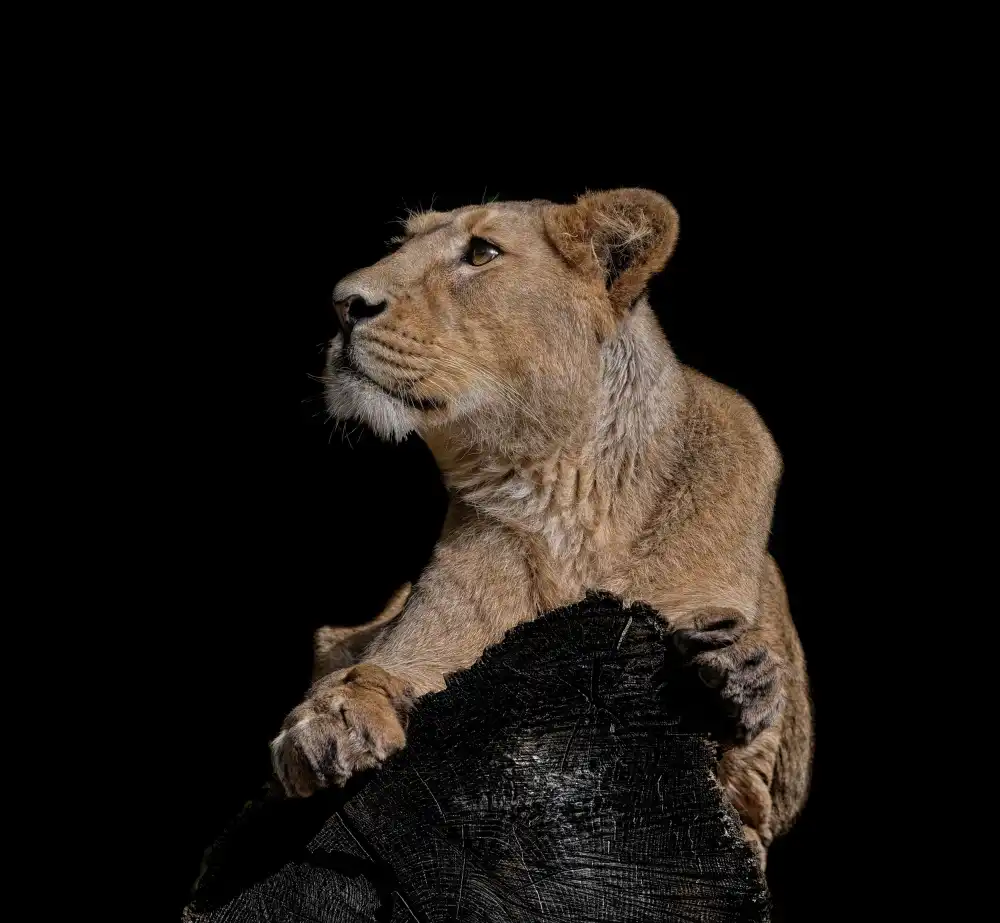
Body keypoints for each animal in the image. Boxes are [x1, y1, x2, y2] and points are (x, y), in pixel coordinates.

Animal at [270, 189, 813, 868]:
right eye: (401, 244)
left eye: (481, 252)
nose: (344, 303)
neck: (569, 495)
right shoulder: (428, 642)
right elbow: (373, 668)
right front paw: (327, 722)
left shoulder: (753, 782)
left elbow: (742, 767)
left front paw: (734, 675)